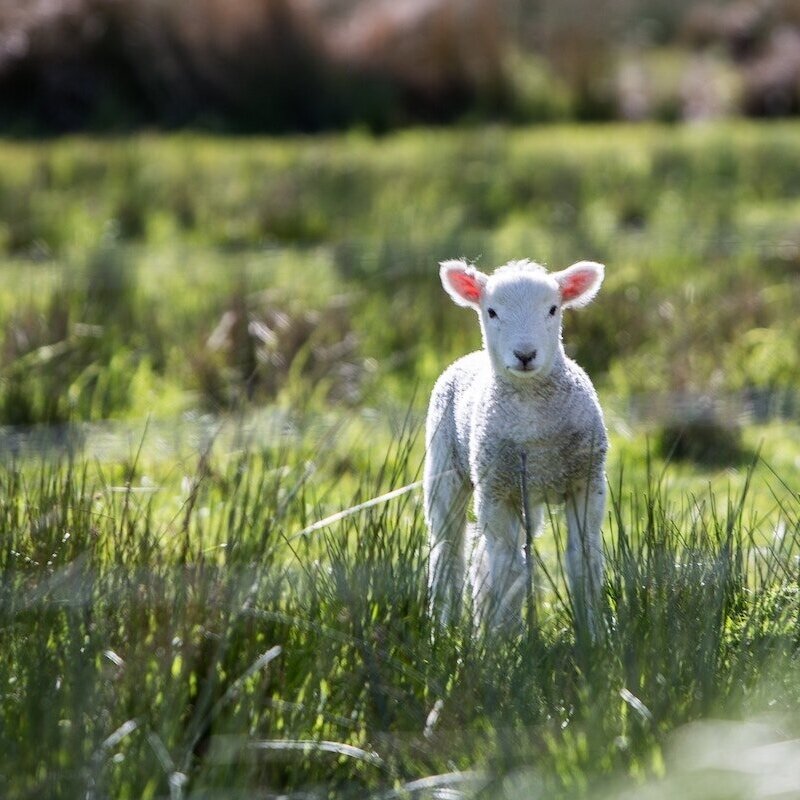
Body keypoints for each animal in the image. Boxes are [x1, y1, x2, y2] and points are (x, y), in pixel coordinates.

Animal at [424, 256, 608, 632]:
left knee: (487, 555)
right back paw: (444, 627)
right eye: (491, 311)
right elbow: (507, 570)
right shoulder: (496, 491)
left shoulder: (587, 482)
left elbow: (583, 560)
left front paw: (592, 633)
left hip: (527, 495)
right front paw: (503, 638)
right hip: (445, 468)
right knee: (449, 550)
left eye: (553, 309)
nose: (525, 354)